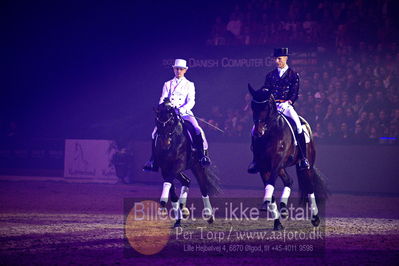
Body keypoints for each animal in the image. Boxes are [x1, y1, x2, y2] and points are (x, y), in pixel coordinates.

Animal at [155, 97, 222, 227]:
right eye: (157, 122)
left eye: (170, 122)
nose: (165, 144)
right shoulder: (165, 168)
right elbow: (172, 191)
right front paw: (177, 218)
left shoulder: (177, 165)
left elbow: (169, 182)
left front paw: (163, 201)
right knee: (187, 181)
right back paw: (183, 211)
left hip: (198, 166)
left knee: (203, 187)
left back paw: (208, 215)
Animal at [248, 84, 330, 230]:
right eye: (253, 106)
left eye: (266, 108)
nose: (258, 132)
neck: (271, 132)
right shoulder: (264, 167)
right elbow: (270, 188)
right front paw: (277, 222)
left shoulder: (276, 163)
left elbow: (271, 183)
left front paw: (266, 203)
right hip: (282, 168)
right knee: (289, 181)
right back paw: (283, 209)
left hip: (307, 166)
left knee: (309, 187)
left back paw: (315, 219)